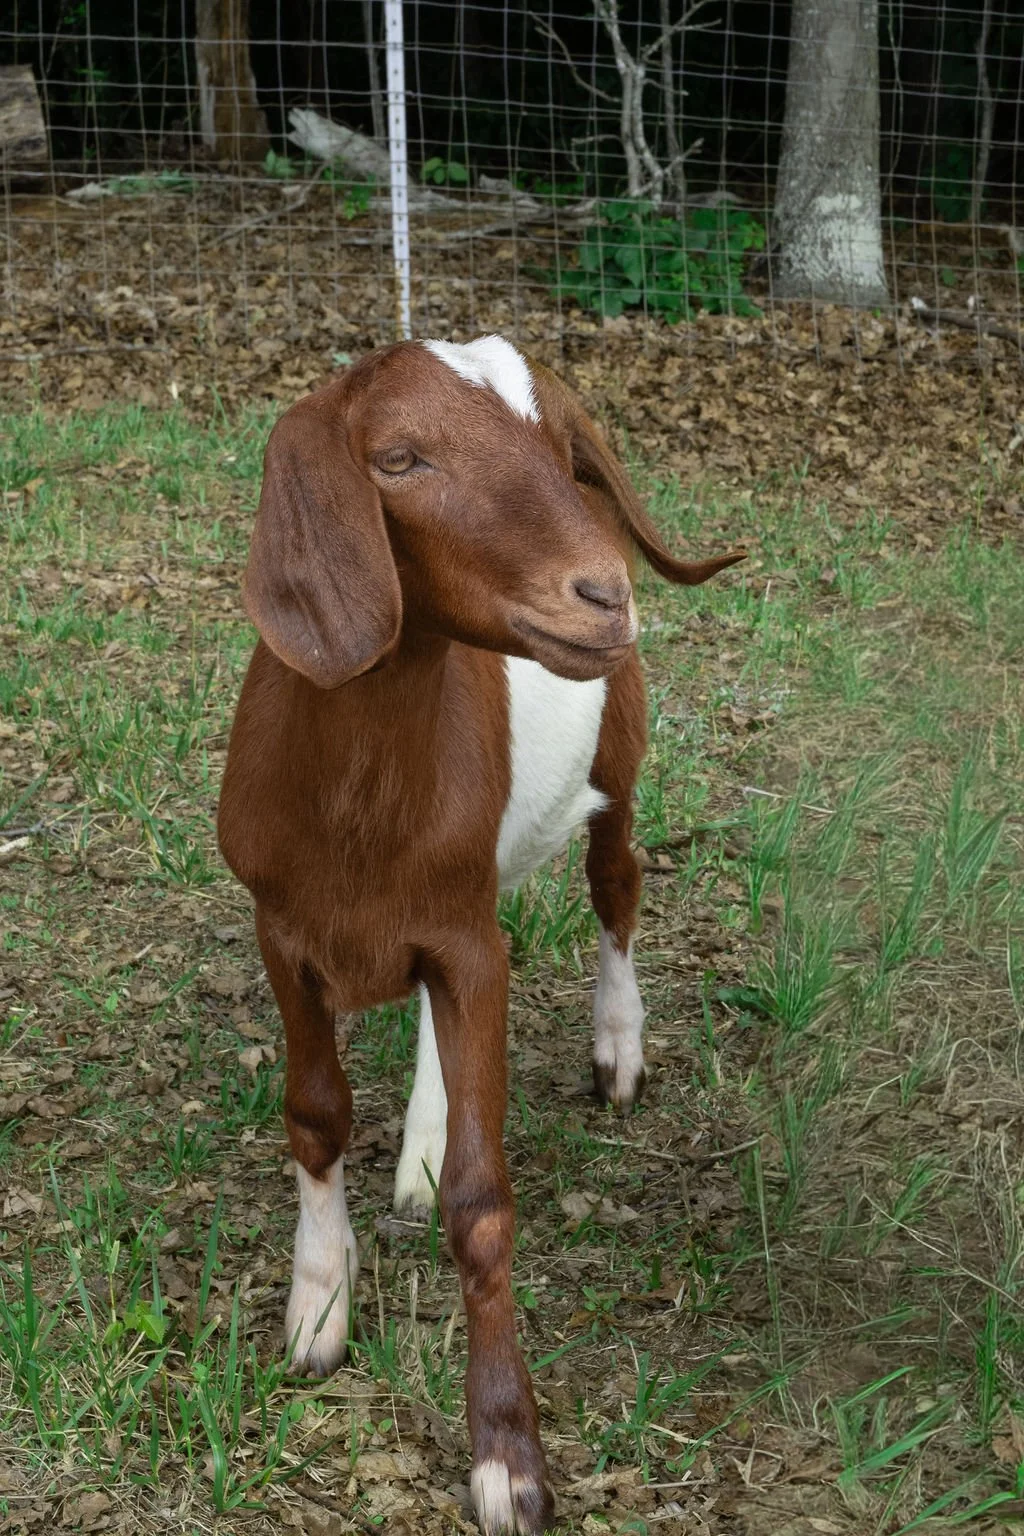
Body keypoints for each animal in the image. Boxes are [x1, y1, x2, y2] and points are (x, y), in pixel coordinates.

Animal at [217, 335, 742, 1535]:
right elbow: (314, 1116)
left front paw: (507, 1455)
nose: (604, 595)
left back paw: (617, 1049)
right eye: (399, 460)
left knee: (617, 885)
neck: (359, 806)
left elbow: (481, 1196)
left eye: (566, 452)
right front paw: (318, 1308)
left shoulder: (466, 944)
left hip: (617, 759)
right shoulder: (285, 933)